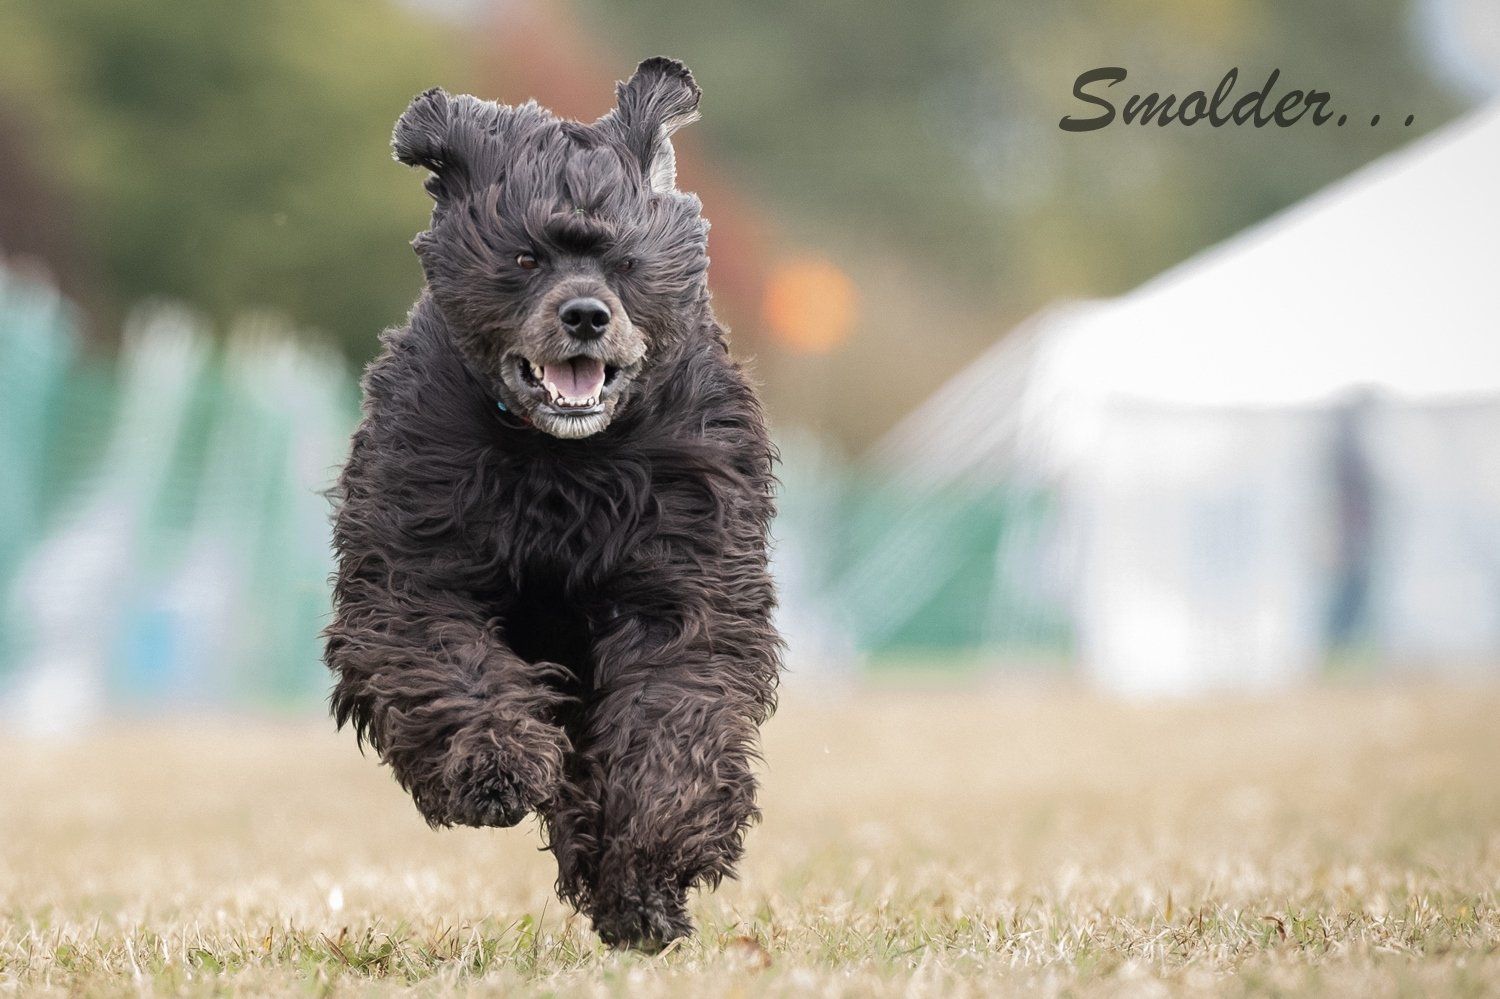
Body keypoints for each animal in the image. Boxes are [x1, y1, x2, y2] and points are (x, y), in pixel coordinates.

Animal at [322, 58, 782, 951]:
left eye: (627, 261)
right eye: (526, 255)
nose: (586, 313)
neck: (565, 460)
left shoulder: (684, 573)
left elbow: (676, 706)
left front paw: (661, 842)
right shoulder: (414, 566)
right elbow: (450, 660)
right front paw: (493, 766)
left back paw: (635, 897)